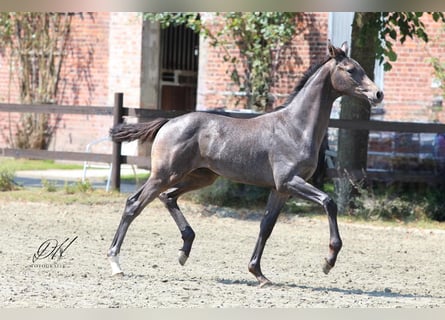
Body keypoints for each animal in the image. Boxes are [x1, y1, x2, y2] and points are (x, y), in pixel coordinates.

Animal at [106, 41, 382, 286]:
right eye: (350, 69)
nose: (378, 94)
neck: (295, 127)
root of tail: (168, 122)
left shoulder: (280, 190)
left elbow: (266, 226)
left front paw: (258, 273)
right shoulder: (290, 181)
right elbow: (328, 202)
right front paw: (328, 261)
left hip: (200, 176)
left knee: (168, 198)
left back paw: (184, 250)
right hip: (164, 174)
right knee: (134, 205)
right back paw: (116, 263)